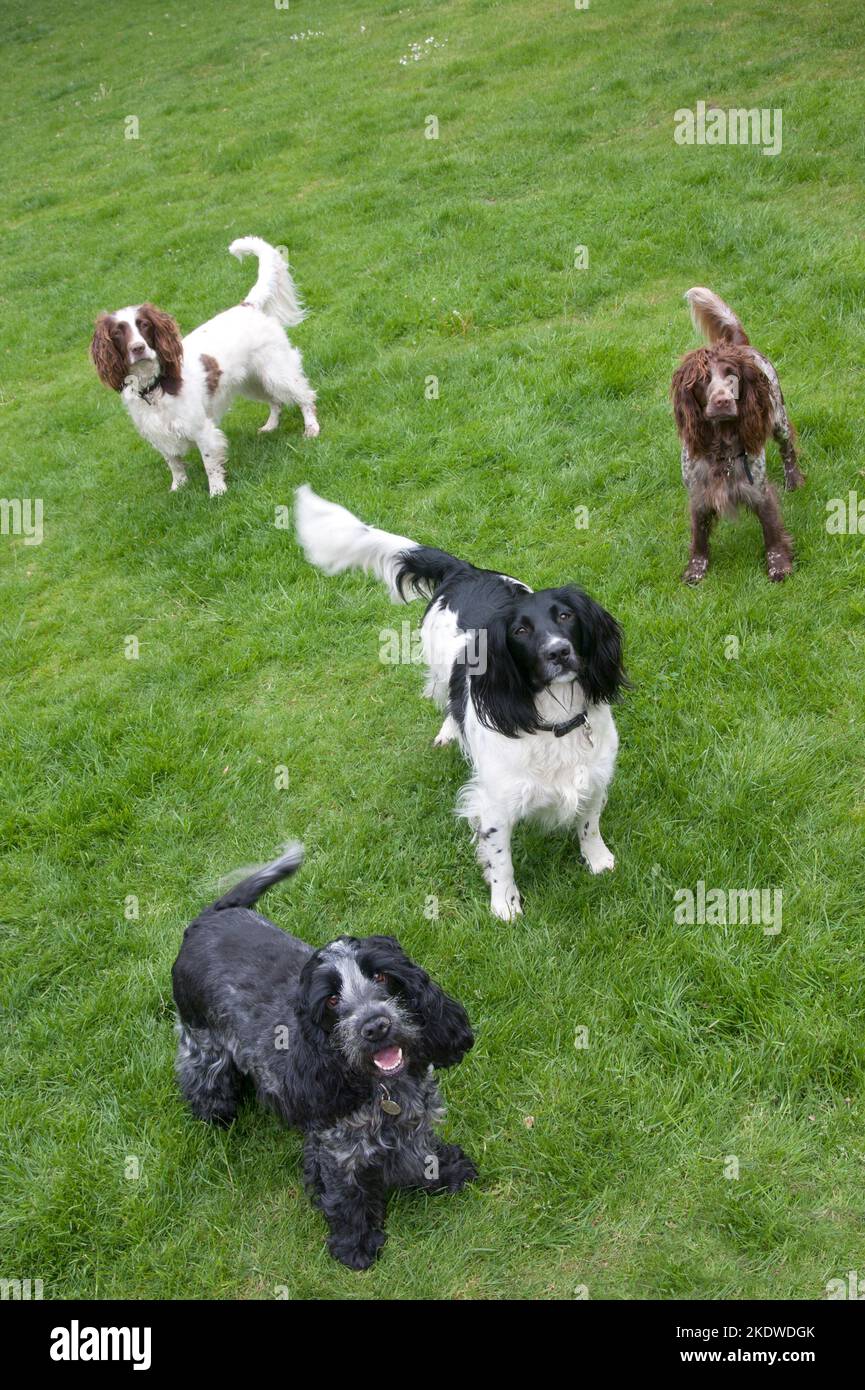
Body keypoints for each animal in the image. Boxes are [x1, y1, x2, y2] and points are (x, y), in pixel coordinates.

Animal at [89, 236, 319, 497]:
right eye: (118, 333)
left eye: (144, 325)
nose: (138, 348)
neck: (155, 386)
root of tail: (247, 305)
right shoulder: (158, 434)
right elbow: (174, 463)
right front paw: (178, 487)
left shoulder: (200, 428)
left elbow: (210, 462)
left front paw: (217, 491)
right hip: (251, 381)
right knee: (275, 401)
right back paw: (270, 426)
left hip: (276, 371)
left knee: (304, 396)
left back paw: (312, 428)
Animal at [171, 845, 478, 1273]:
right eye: (332, 1000)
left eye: (382, 977)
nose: (375, 1026)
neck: (384, 1089)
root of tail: (208, 917)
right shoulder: (337, 1149)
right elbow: (346, 1195)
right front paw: (356, 1244)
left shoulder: (416, 1117)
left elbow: (422, 1150)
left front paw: (445, 1171)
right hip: (202, 1042)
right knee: (201, 1077)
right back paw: (215, 1115)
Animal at [294, 489, 625, 922]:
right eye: (521, 631)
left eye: (566, 616)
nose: (559, 652)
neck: (555, 720)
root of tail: (464, 571)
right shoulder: (495, 803)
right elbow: (501, 858)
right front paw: (505, 905)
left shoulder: (595, 777)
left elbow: (589, 824)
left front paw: (599, 861)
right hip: (437, 663)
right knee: (446, 698)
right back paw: (449, 733)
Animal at [670, 287, 806, 581]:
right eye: (702, 381)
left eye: (731, 375)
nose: (722, 401)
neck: (721, 448)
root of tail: (740, 345)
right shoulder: (699, 494)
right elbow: (699, 535)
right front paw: (696, 569)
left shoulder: (759, 490)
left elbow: (771, 530)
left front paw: (779, 564)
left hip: (778, 418)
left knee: (787, 448)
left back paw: (794, 480)